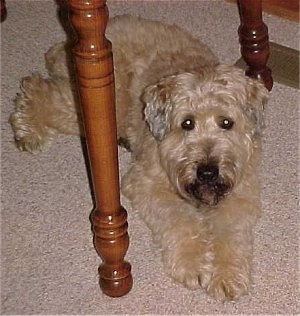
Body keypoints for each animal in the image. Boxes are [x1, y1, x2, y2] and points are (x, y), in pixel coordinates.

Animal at [9, 15, 268, 302]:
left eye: (226, 122)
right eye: (187, 123)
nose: (207, 172)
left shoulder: (241, 191)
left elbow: (231, 233)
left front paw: (226, 274)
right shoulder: (147, 182)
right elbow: (181, 219)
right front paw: (193, 263)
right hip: (97, 109)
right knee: (37, 88)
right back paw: (27, 129)